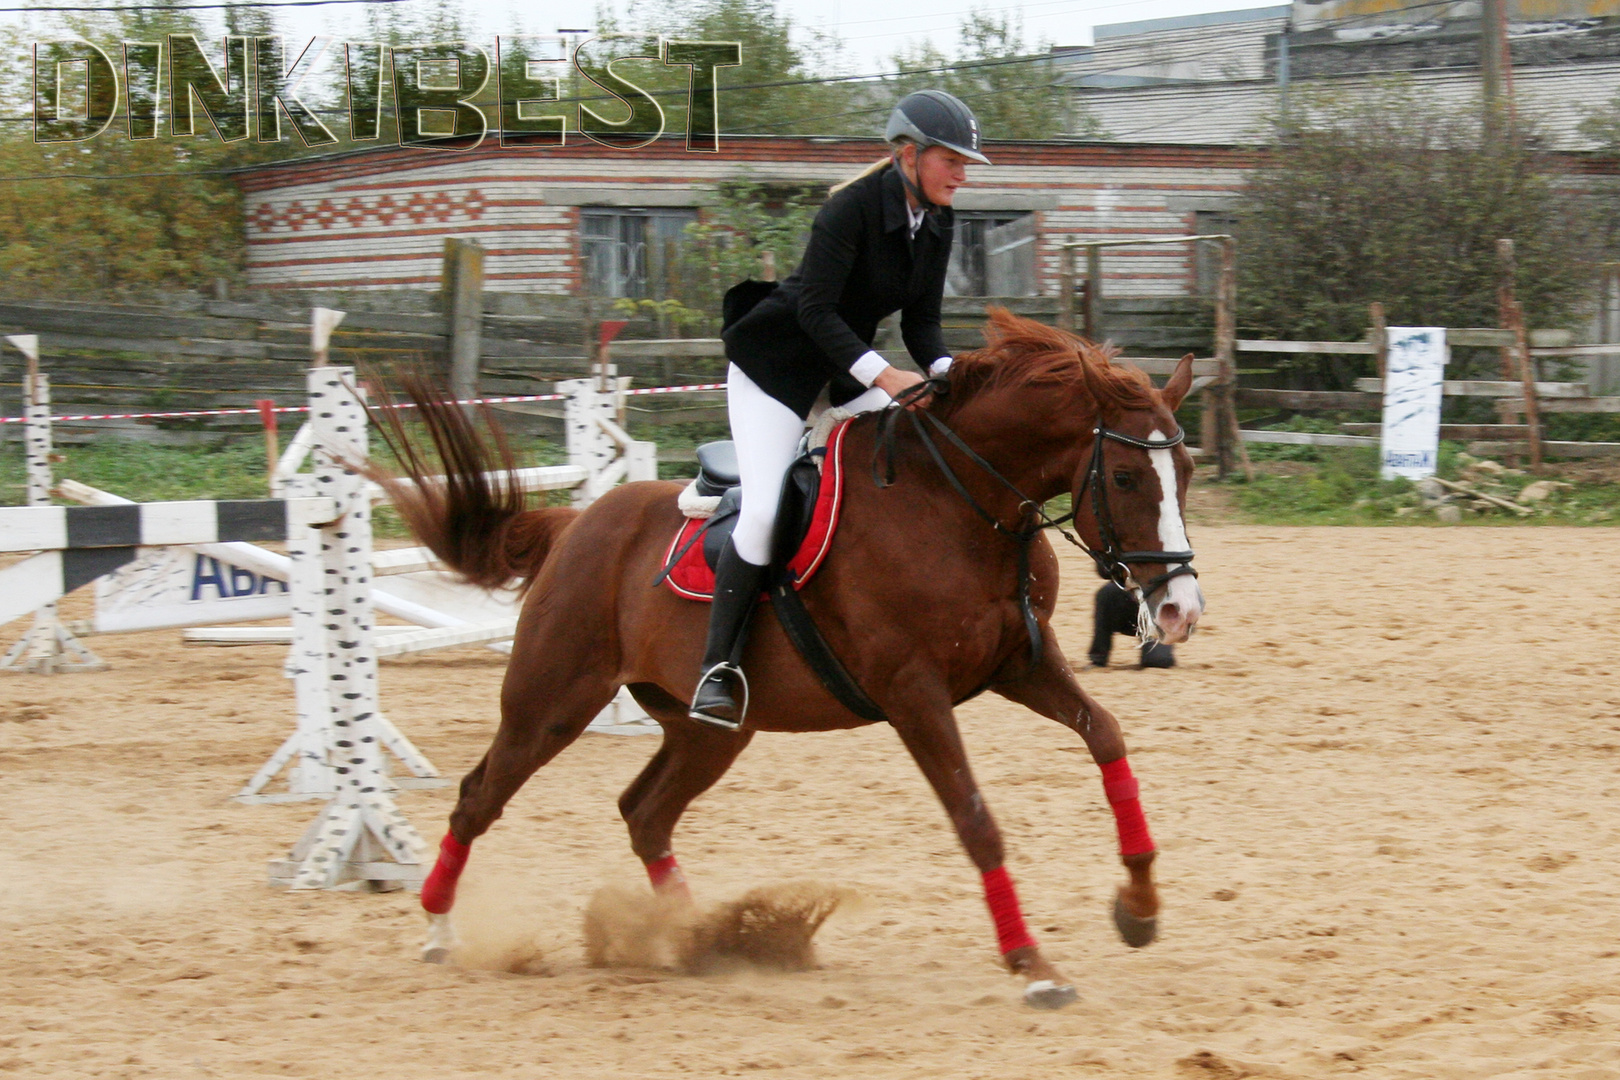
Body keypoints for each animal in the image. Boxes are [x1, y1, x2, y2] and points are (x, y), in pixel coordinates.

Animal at [372, 307, 1198, 1010]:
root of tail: (576, 523)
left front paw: (1139, 909)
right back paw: (439, 932)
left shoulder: (1019, 666)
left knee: (645, 812)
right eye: (1125, 477)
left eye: (1185, 474)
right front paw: (1034, 967)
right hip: (551, 702)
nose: (1179, 610)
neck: (959, 506)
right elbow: (976, 820)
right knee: (479, 797)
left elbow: (1107, 740)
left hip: (711, 731)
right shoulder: (913, 693)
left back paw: (698, 938)